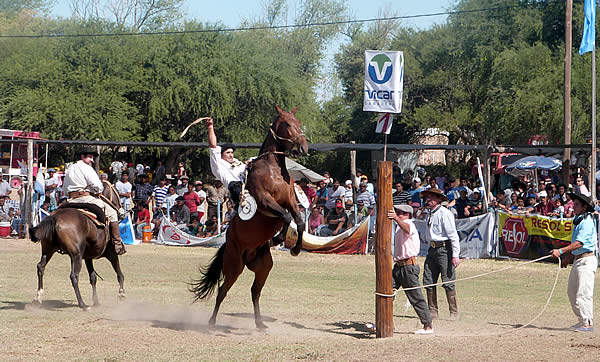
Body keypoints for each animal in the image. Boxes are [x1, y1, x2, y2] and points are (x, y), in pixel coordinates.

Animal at [30, 180, 125, 310]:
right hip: (76, 256)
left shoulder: (88, 257)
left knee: (41, 267)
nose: (123, 212)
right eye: (117, 192)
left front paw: (96, 301)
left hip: (49, 250)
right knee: (73, 276)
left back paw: (38, 298)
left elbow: (93, 277)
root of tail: (55, 217)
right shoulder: (111, 254)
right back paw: (82, 304)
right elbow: (119, 274)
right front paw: (121, 294)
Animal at [192, 104, 310, 328]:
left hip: (263, 268)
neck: (272, 169)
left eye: (299, 122)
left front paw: (296, 248)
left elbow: (298, 221)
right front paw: (278, 238)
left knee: (255, 292)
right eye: (287, 123)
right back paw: (211, 322)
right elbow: (285, 217)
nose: (302, 148)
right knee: (222, 291)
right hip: (234, 266)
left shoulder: (290, 200)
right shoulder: (266, 201)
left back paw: (259, 324)